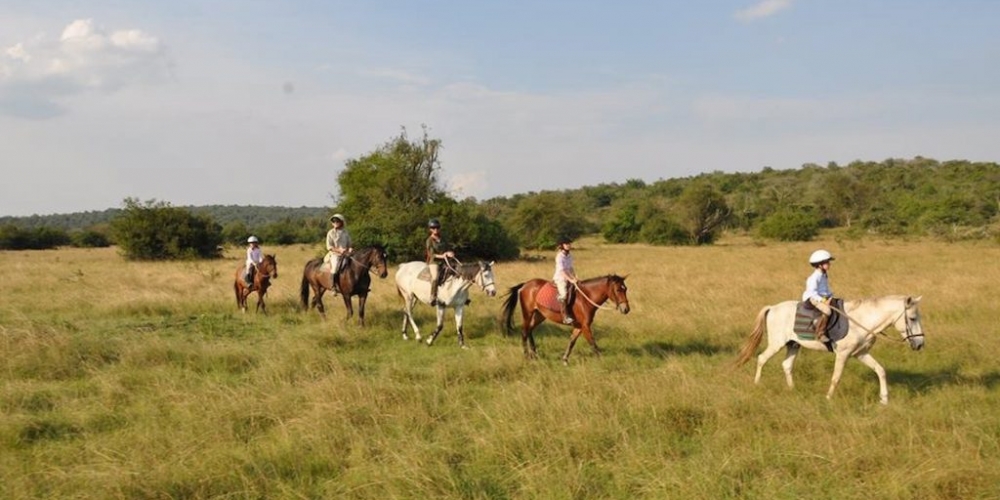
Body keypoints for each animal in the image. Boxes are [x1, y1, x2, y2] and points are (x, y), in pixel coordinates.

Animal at [500, 276, 632, 366]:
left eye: (625, 289)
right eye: (618, 290)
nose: (626, 309)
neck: (585, 298)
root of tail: (525, 285)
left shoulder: (579, 327)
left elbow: (572, 342)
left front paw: (564, 360)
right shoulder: (585, 326)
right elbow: (593, 344)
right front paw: (603, 361)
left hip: (539, 315)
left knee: (529, 330)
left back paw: (534, 354)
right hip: (528, 314)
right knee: (524, 332)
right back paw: (527, 356)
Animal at [736, 294, 928, 404]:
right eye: (912, 318)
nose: (920, 344)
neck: (862, 320)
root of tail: (773, 308)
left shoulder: (861, 353)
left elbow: (880, 370)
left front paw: (884, 399)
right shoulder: (843, 354)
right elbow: (836, 377)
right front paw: (828, 398)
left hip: (793, 345)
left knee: (787, 365)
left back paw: (792, 389)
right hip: (777, 343)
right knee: (761, 358)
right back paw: (757, 384)